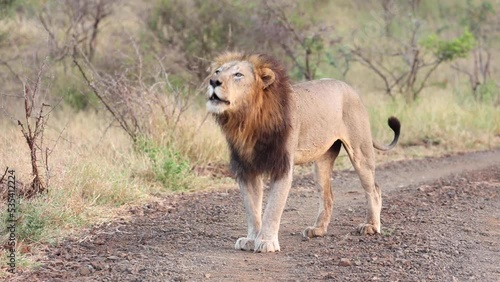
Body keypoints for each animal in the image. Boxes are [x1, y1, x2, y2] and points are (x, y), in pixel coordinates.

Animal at [205, 52, 400, 253]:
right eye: (217, 71)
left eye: (238, 75)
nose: (213, 81)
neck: (246, 119)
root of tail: (352, 90)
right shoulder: (246, 169)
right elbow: (252, 209)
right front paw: (251, 239)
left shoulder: (282, 167)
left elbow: (273, 208)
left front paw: (266, 241)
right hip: (322, 162)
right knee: (328, 195)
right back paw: (318, 229)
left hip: (360, 152)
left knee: (374, 189)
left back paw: (371, 226)